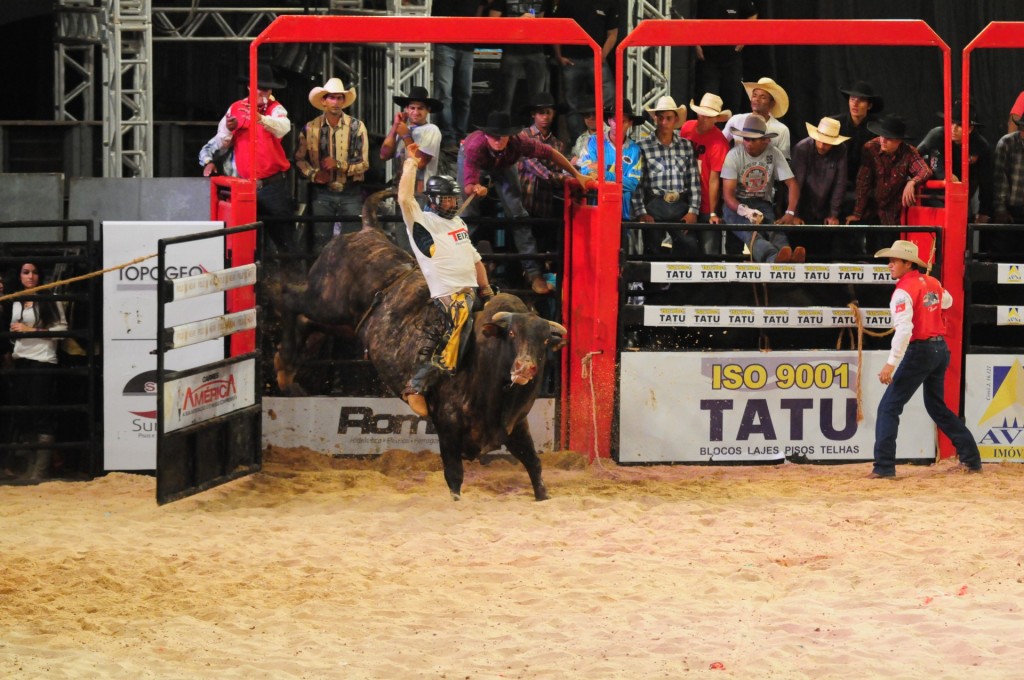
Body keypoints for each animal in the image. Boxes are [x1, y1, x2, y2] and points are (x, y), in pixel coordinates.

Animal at [278, 191, 569, 499]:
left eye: (544, 341)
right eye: (512, 334)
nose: (525, 367)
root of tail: (368, 230)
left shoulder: (514, 426)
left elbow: (534, 464)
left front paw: (543, 495)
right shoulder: (447, 425)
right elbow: (454, 475)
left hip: (340, 321)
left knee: (306, 322)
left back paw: (287, 369)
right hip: (325, 300)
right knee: (289, 299)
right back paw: (283, 363)